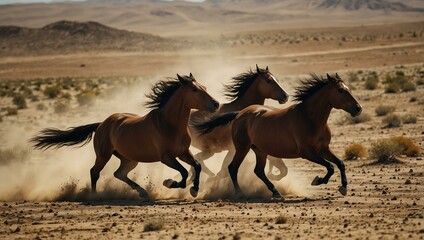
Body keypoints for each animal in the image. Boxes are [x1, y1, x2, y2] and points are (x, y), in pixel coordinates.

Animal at [30, 74, 219, 198]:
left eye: (205, 87)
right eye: (194, 89)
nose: (216, 104)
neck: (169, 124)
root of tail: (102, 124)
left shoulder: (183, 152)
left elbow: (197, 166)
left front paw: (194, 190)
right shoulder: (166, 157)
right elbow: (184, 172)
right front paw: (170, 183)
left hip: (129, 159)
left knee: (119, 173)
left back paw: (142, 192)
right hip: (103, 155)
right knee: (94, 172)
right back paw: (95, 196)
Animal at [195, 74, 362, 198]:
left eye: (348, 88)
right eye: (340, 90)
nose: (358, 108)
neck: (310, 118)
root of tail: (239, 114)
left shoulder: (323, 149)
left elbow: (340, 163)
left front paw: (343, 187)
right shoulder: (307, 152)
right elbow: (330, 166)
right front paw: (318, 180)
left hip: (259, 150)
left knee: (258, 171)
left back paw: (275, 192)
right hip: (242, 148)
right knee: (232, 167)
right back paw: (239, 193)